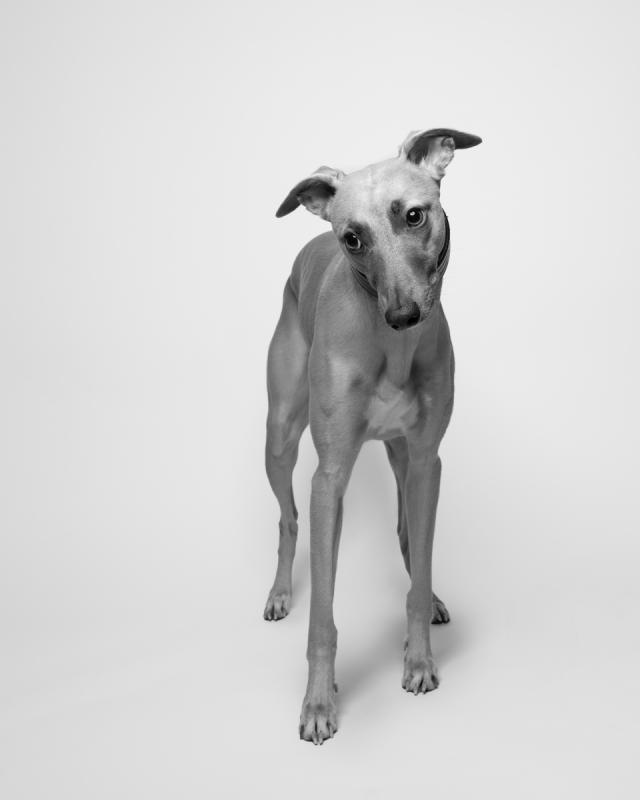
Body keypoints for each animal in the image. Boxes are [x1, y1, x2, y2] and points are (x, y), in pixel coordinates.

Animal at [263, 128, 482, 744]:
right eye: (353, 239)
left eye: (414, 214)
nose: (403, 314)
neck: (393, 350)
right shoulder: (329, 477)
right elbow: (322, 617)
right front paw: (318, 703)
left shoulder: (428, 459)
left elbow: (419, 562)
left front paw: (419, 660)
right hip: (280, 436)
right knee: (289, 519)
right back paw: (280, 594)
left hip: (402, 458)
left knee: (410, 536)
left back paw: (430, 599)